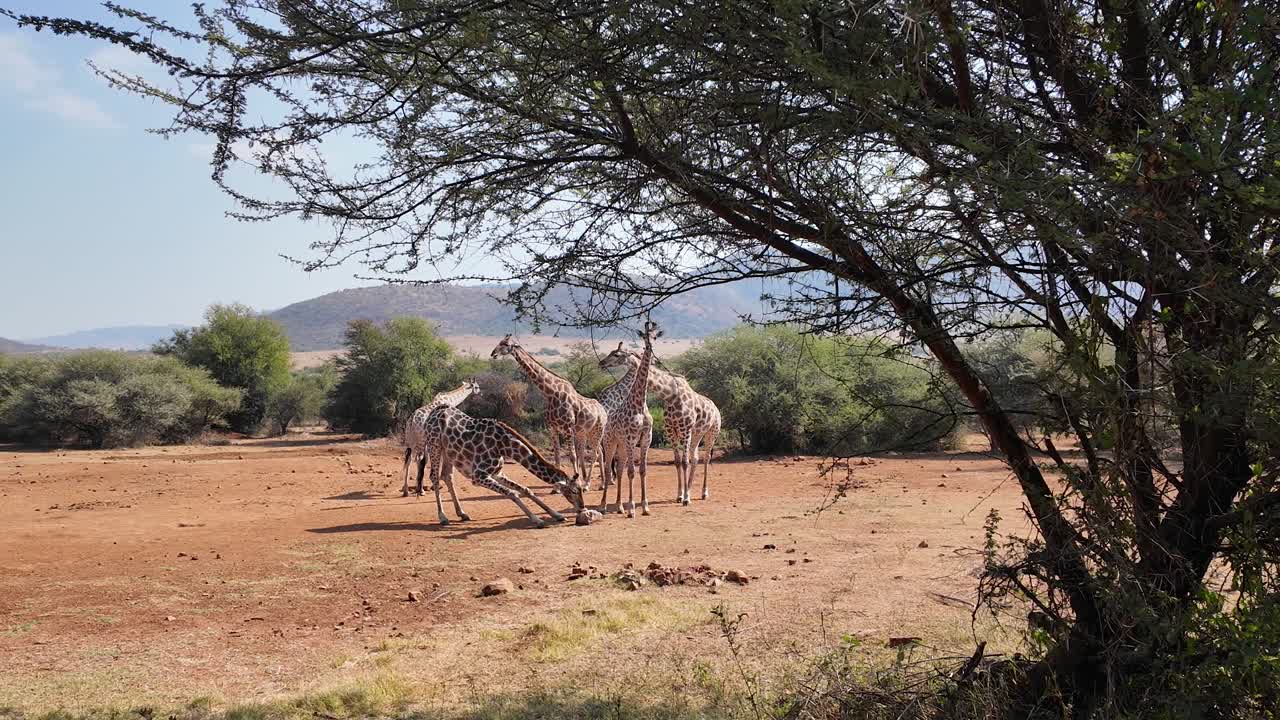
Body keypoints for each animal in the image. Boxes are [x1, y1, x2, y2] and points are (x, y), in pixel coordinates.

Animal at [418, 405, 583, 528]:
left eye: (582, 490)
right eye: (574, 491)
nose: (582, 507)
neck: (504, 446)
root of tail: (434, 412)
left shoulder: (497, 473)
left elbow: (525, 489)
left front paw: (557, 515)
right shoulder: (478, 476)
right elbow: (512, 493)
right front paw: (537, 520)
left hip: (449, 452)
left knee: (447, 476)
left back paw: (462, 513)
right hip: (434, 444)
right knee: (434, 476)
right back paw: (443, 517)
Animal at [491, 336, 605, 491]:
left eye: (506, 344)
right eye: (500, 341)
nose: (493, 354)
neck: (551, 393)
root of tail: (603, 410)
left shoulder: (568, 428)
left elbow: (572, 455)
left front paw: (576, 482)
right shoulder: (553, 428)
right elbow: (557, 456)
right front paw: (557, 486)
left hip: (598, 431)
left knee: (595, 454)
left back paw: (588, 484)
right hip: (585, 432)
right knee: (598, 452)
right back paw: (603, 483)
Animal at [597, 320, 659, 517]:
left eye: (655, 335)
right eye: (645, 335)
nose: (649, 346)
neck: (639, 403)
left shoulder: (646, 438)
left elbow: (642, 471)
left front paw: (645, 507)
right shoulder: (632, 439)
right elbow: (632, 471)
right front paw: (632, 507)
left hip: (622, 446)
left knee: (619, 470)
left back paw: (619, 506)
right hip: (611, 442)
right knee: (608, 467)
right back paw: (603, 505)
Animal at [602, 350, 721, 505]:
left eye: (617, 354)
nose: (602, 362)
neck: (671, 395)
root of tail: (716, 408)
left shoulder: (685, 429)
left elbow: (684, 462)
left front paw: (686, 498)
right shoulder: (671, 430)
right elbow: (678, 461)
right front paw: (680, 495)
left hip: (711, 433)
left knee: (706, 458)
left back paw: (704, 493)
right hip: (697, 434)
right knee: (695, 458)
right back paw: (689, 489)